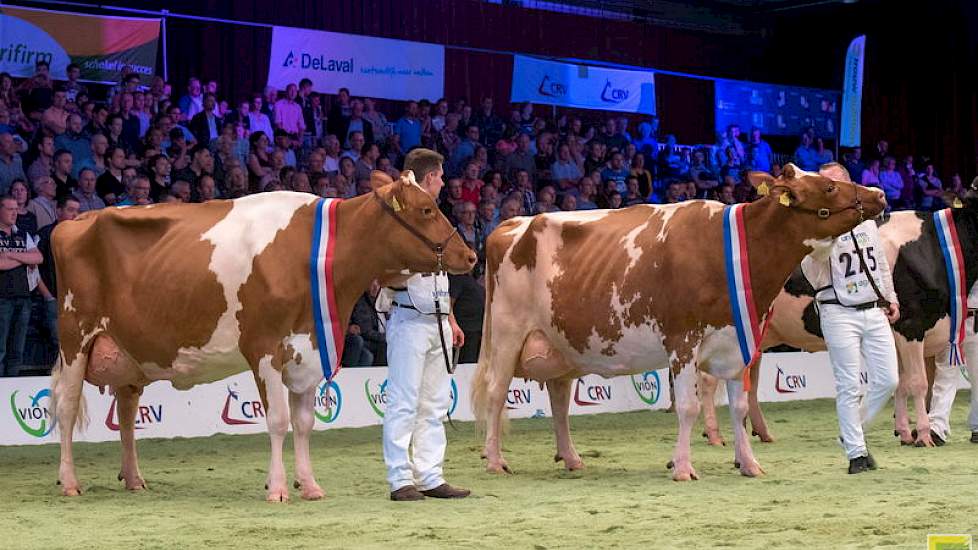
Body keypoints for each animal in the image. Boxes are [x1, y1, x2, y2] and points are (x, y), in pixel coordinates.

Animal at [50, 175, 476, 502]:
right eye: (427, 210)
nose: (470, 256)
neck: (313, 258)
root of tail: (73, 220)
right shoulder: (264, 349)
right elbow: (278, 420)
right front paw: (278, 488)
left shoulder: (309, 348)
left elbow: (303, 423)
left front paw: (310, 485)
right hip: (75, 338)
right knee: (67, 409)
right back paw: (69, 482)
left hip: (129, 354)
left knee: (125, 413)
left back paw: (134, 479)